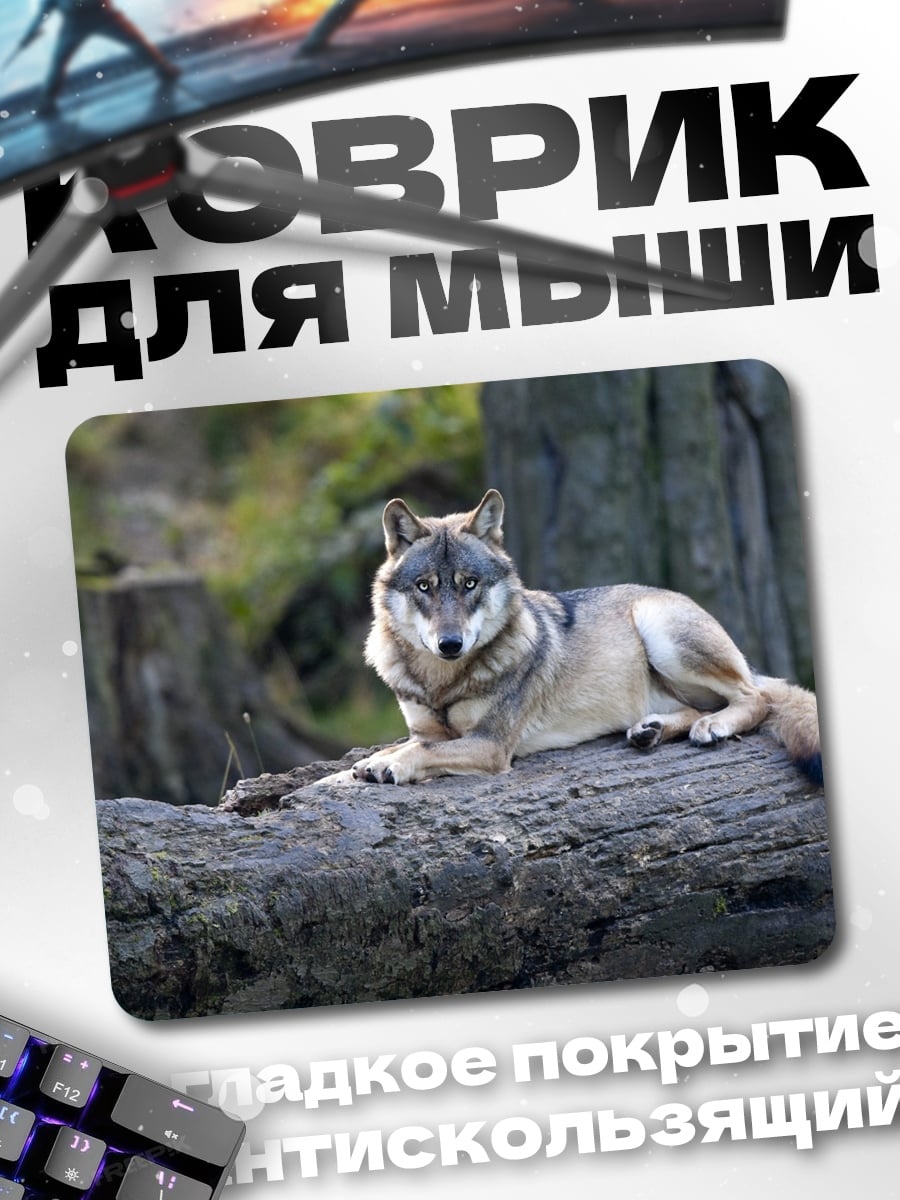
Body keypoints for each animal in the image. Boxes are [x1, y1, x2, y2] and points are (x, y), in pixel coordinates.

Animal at [342, 489, 821, 787]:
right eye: (424, 586)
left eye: (469, 584)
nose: (450, 644)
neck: (441, 681)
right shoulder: (429, 729)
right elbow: (406, 744)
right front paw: (371, 761)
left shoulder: (491, 745)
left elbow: (419, 752)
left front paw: (391, 765)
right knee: (699, 708)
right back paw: (650, 729)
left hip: (660, 630)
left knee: (757, 698)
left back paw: (712, 726)